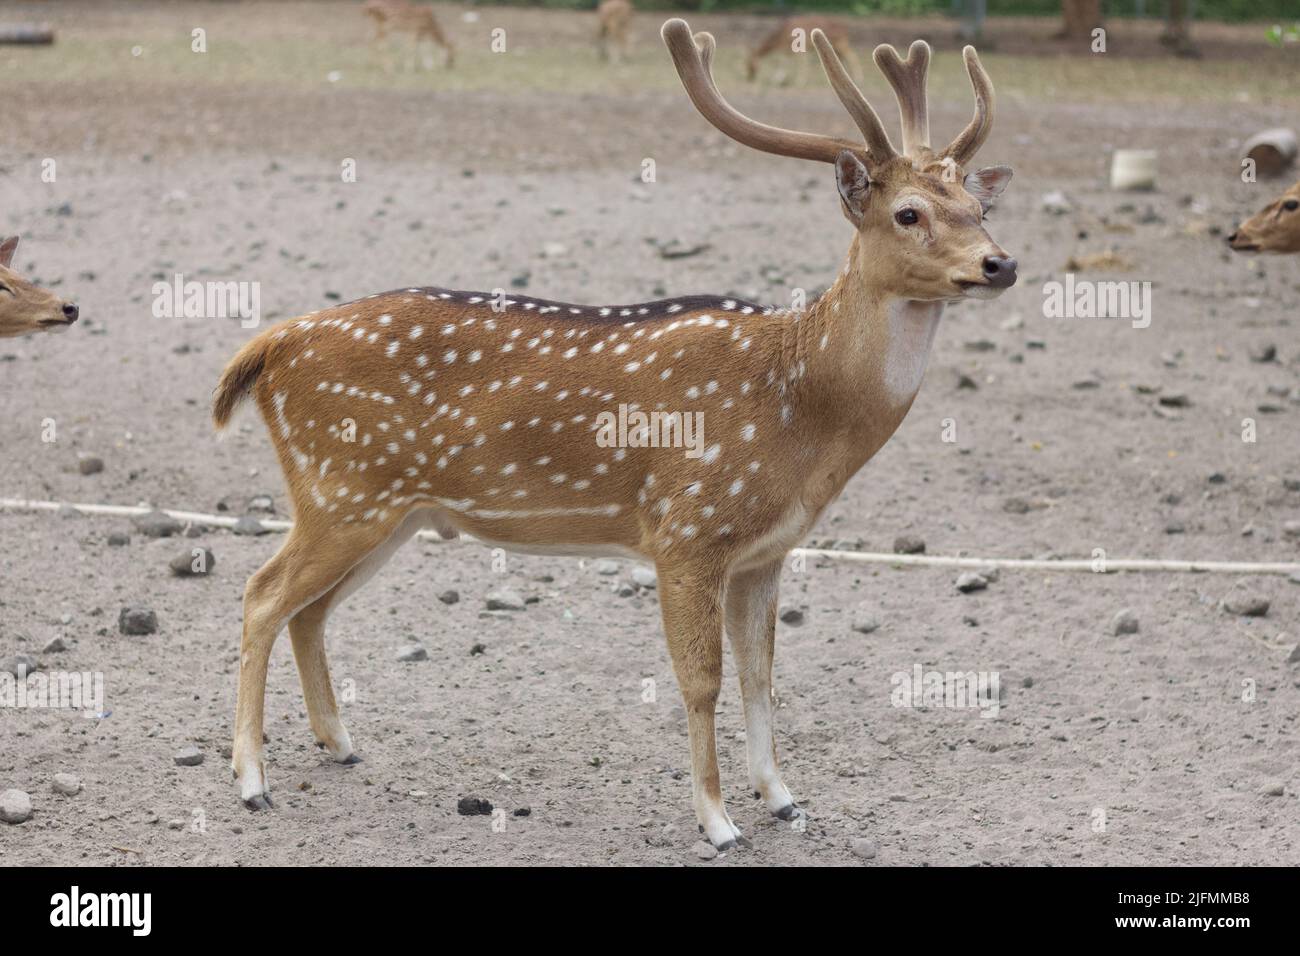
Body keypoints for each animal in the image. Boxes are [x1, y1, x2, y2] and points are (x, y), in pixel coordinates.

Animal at [210, 18, 1013, 848]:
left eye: (978, 208)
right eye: (908, 213)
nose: (1000, 264)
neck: (802, 410)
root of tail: (268, 346)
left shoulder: (767, 551)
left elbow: (761, 674)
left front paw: (784, 797)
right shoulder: (688, 529)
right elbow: (701, 680)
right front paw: (718, 820)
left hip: (389, 511)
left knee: (308, 610)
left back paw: (339, 742)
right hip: (340, 490)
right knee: (261, 595)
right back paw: (252, 780)